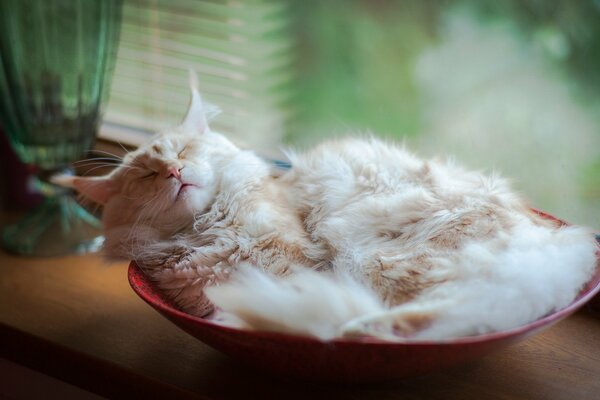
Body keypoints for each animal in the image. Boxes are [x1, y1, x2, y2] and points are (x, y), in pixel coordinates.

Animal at [52, 77, 600, 340]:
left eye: (183, 151)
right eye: (144, 177)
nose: (172, 172)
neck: (208, 228)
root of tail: (557, 258)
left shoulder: (300, 267)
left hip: (382, 259)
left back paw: (351, 330)